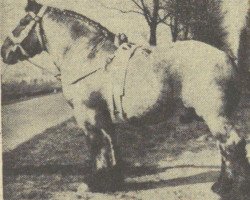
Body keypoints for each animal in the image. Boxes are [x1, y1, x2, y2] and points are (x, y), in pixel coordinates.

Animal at [1, 0, 250, 195]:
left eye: (22, 22)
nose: (4, 51)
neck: (87, 55)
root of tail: (226, 57)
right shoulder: (103, 113)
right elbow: (111, 143)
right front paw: (112, 180)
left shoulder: (87, 112)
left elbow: (96, 145)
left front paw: (94, 183)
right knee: (224, 146)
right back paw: (221, 184)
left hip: (215, 115)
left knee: (232, 143)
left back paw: (228, 188)